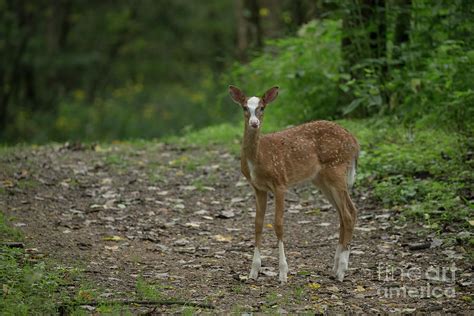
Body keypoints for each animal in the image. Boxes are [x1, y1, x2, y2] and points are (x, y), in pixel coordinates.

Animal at [230, 85, 360, 282]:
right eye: (245, 107)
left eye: (262, 107)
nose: (254, 123)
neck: (259, 157)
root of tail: (355, 142)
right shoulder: (258, 188)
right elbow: (258, 224)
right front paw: (253, 272)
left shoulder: (280, 183)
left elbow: (278, 224)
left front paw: (283, 273)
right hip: (321, 179)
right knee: (341, 213)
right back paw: (335, 267)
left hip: (337, 169)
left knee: (349, 212)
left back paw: (341, 272)